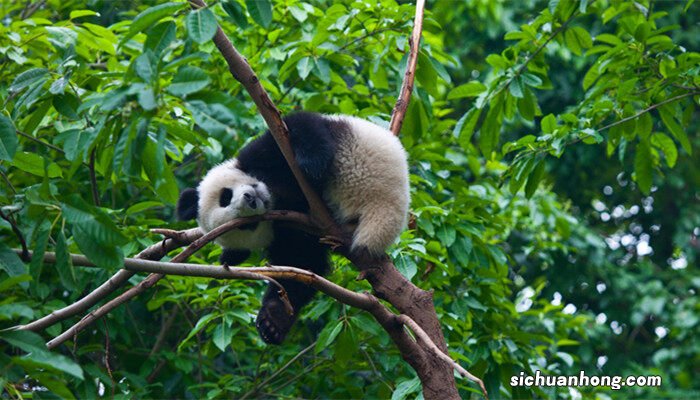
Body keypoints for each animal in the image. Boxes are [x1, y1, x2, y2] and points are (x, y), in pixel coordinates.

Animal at [178, 111, 410, 344]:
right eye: (247, 225)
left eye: (224, 197)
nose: (251, 199)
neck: (277, 194)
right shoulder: (290, 232)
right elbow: (301, 265)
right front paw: (272, 321)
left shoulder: (262, 154)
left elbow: (298, 126)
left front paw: (311, 163)